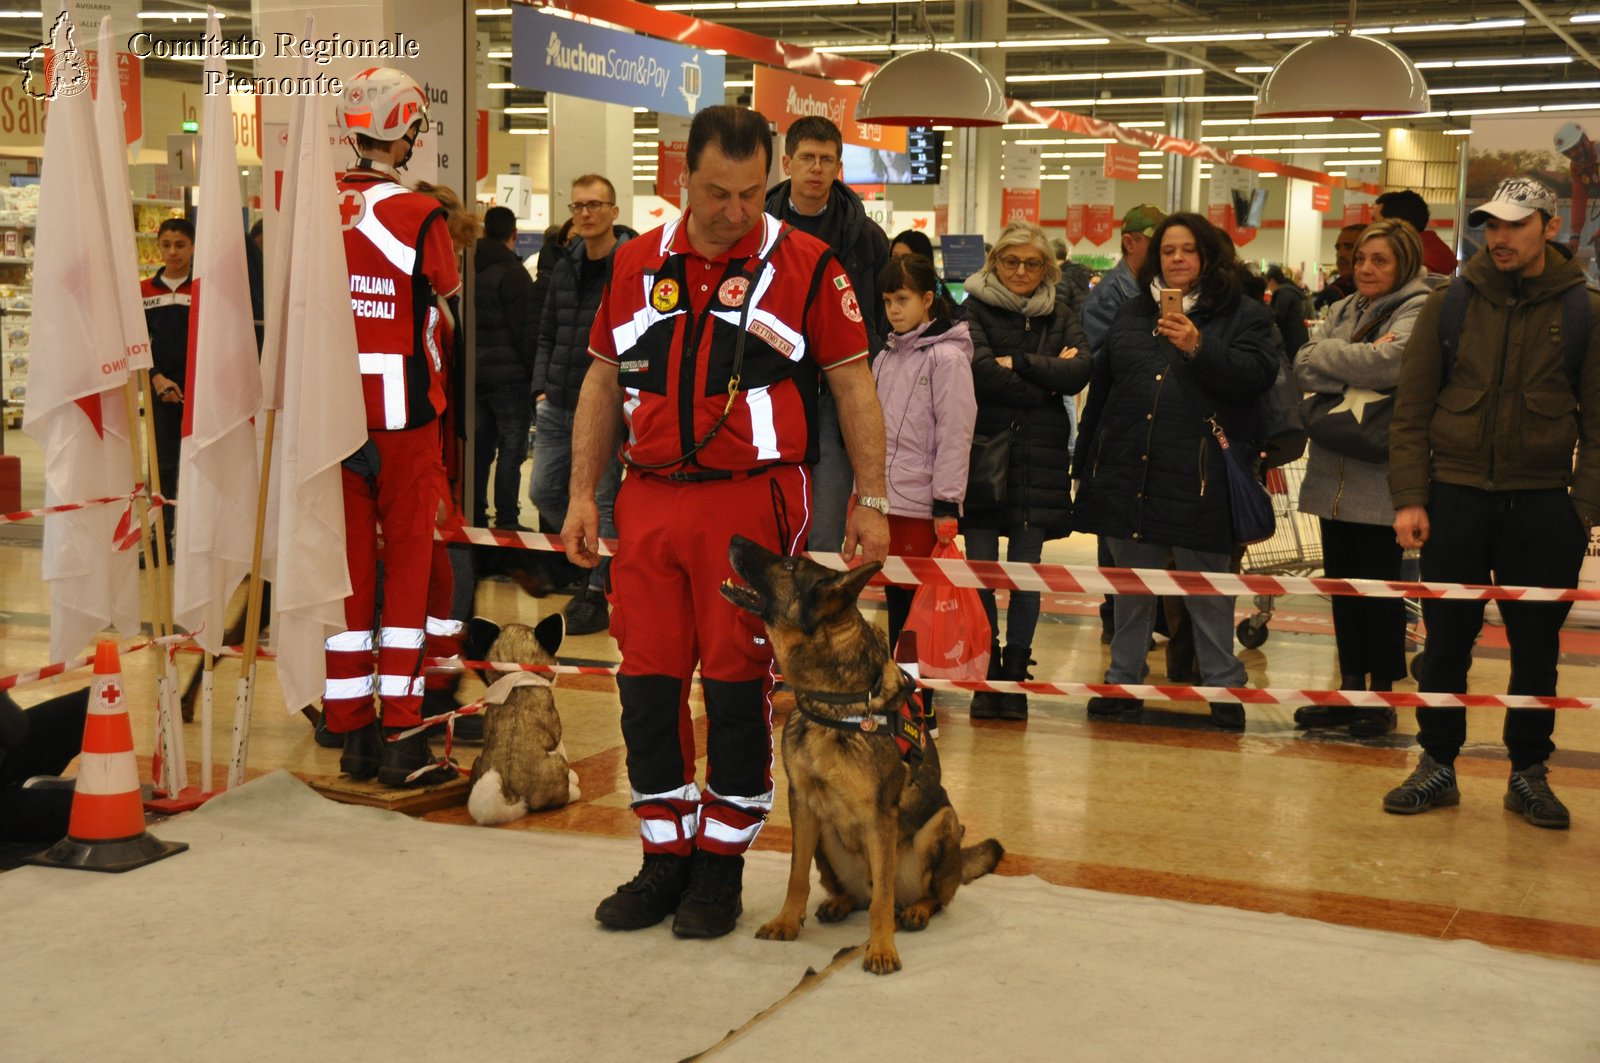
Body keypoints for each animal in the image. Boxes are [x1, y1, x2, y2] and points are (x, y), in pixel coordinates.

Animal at [723, 534, 998, 973]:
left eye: (789, 566)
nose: (734, 538)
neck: (835, 704)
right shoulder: (802, 804)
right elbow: (796, 875)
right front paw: (787, 921)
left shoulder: (880, 815)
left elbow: (883, 901)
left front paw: (882, 948)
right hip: (826, 836)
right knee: (858, 895)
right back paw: (839, 902)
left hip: (943, 823)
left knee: (925, 895)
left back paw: (916, 910)